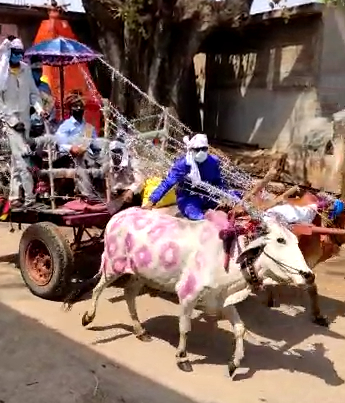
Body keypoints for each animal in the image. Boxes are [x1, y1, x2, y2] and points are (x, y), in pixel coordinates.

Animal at [65, 208, 314, 378]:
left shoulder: (222, 300)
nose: (308, 275)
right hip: (113, 266)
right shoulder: (187, 294)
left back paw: (139, 330)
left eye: (296, 241)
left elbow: (240, 329)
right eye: (280, 240)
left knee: (129, 293)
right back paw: (88, 317)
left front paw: (234, 364)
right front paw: (182, 358)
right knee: (98, 288)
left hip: (140, 274)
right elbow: (185, 327)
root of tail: (117, 216)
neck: (230, 258)